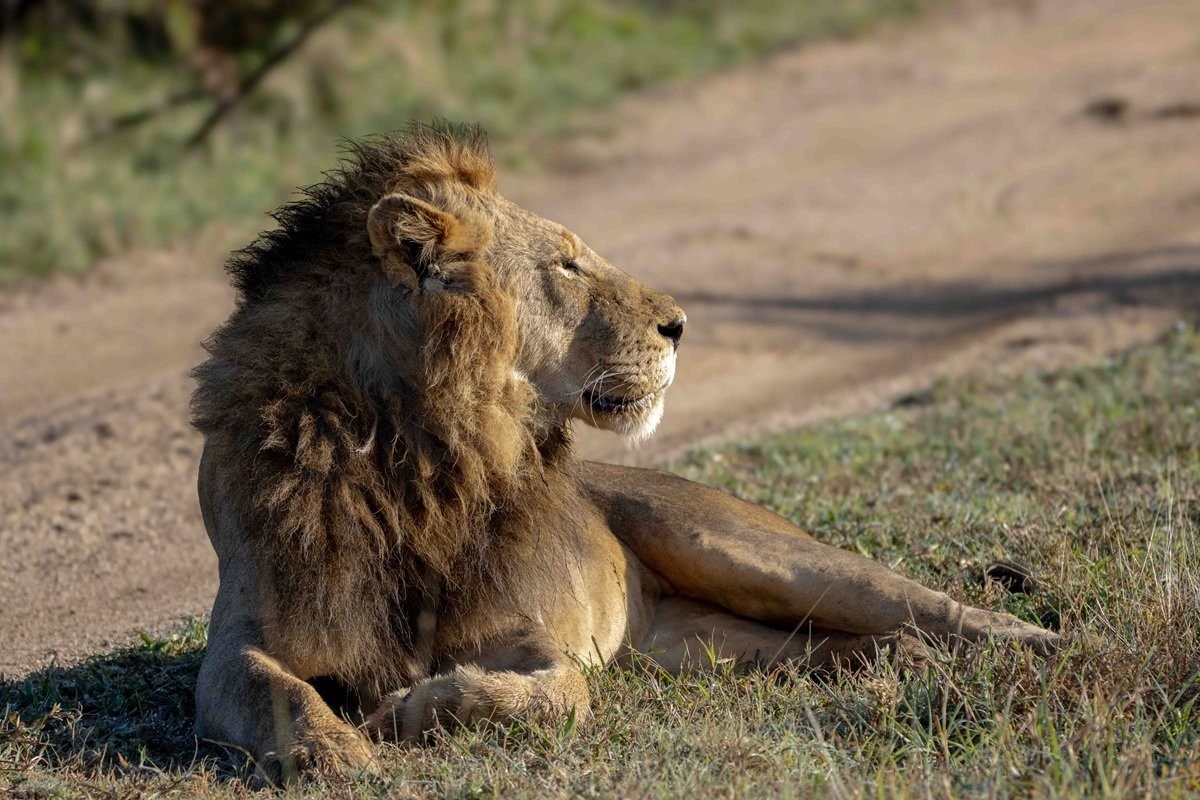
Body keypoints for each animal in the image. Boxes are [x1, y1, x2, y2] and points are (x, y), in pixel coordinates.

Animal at [190, 122, 1058, 784]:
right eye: (567, 265)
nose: (681, 324)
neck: (412, 445)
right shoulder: (239, 640)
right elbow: (279, 694)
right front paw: (334, 752)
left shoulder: (525, 626)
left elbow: (560, 693)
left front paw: (413, 710)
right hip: (702, 648)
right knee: (847, 645)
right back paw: (892, 666)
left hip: (753, 553)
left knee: (937, 607)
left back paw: (1042, 646)